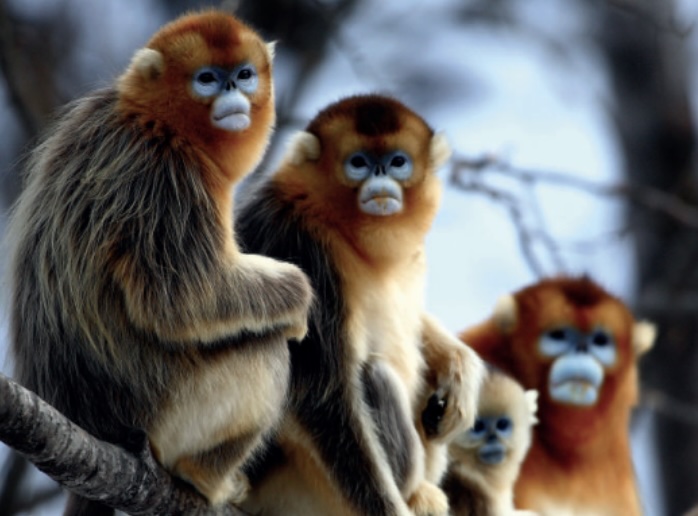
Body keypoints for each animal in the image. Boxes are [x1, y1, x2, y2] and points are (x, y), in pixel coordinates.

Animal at [6, 10, 313, 515]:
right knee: (266, 350)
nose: (233, 92)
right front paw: (299, 296)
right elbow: (184, 300)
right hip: (171, 415)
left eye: (244, 74)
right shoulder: (168, 177)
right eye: (207, 79)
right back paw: (205, 479)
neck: (152, 118)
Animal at [235, 94, 485, 516]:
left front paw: (460, 366)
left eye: (398, 161)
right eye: (358, 163)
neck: (339, 226)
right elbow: (323, 396)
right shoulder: (301, 248)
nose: (380, 177)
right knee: (374, 375)